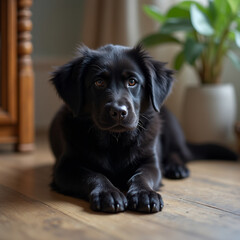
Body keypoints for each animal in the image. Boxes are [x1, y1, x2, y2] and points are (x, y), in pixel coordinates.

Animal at [49, 44, 238, 213]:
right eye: (99, 82)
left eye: (132, 82)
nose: (119, 112)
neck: (115, 141)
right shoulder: (65, 167)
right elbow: (93, 175)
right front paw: (107, 193)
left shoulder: (150, 161)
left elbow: (142, 175)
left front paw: (144, 194)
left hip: (171, 127)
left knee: (177, 153)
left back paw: (176, 168)